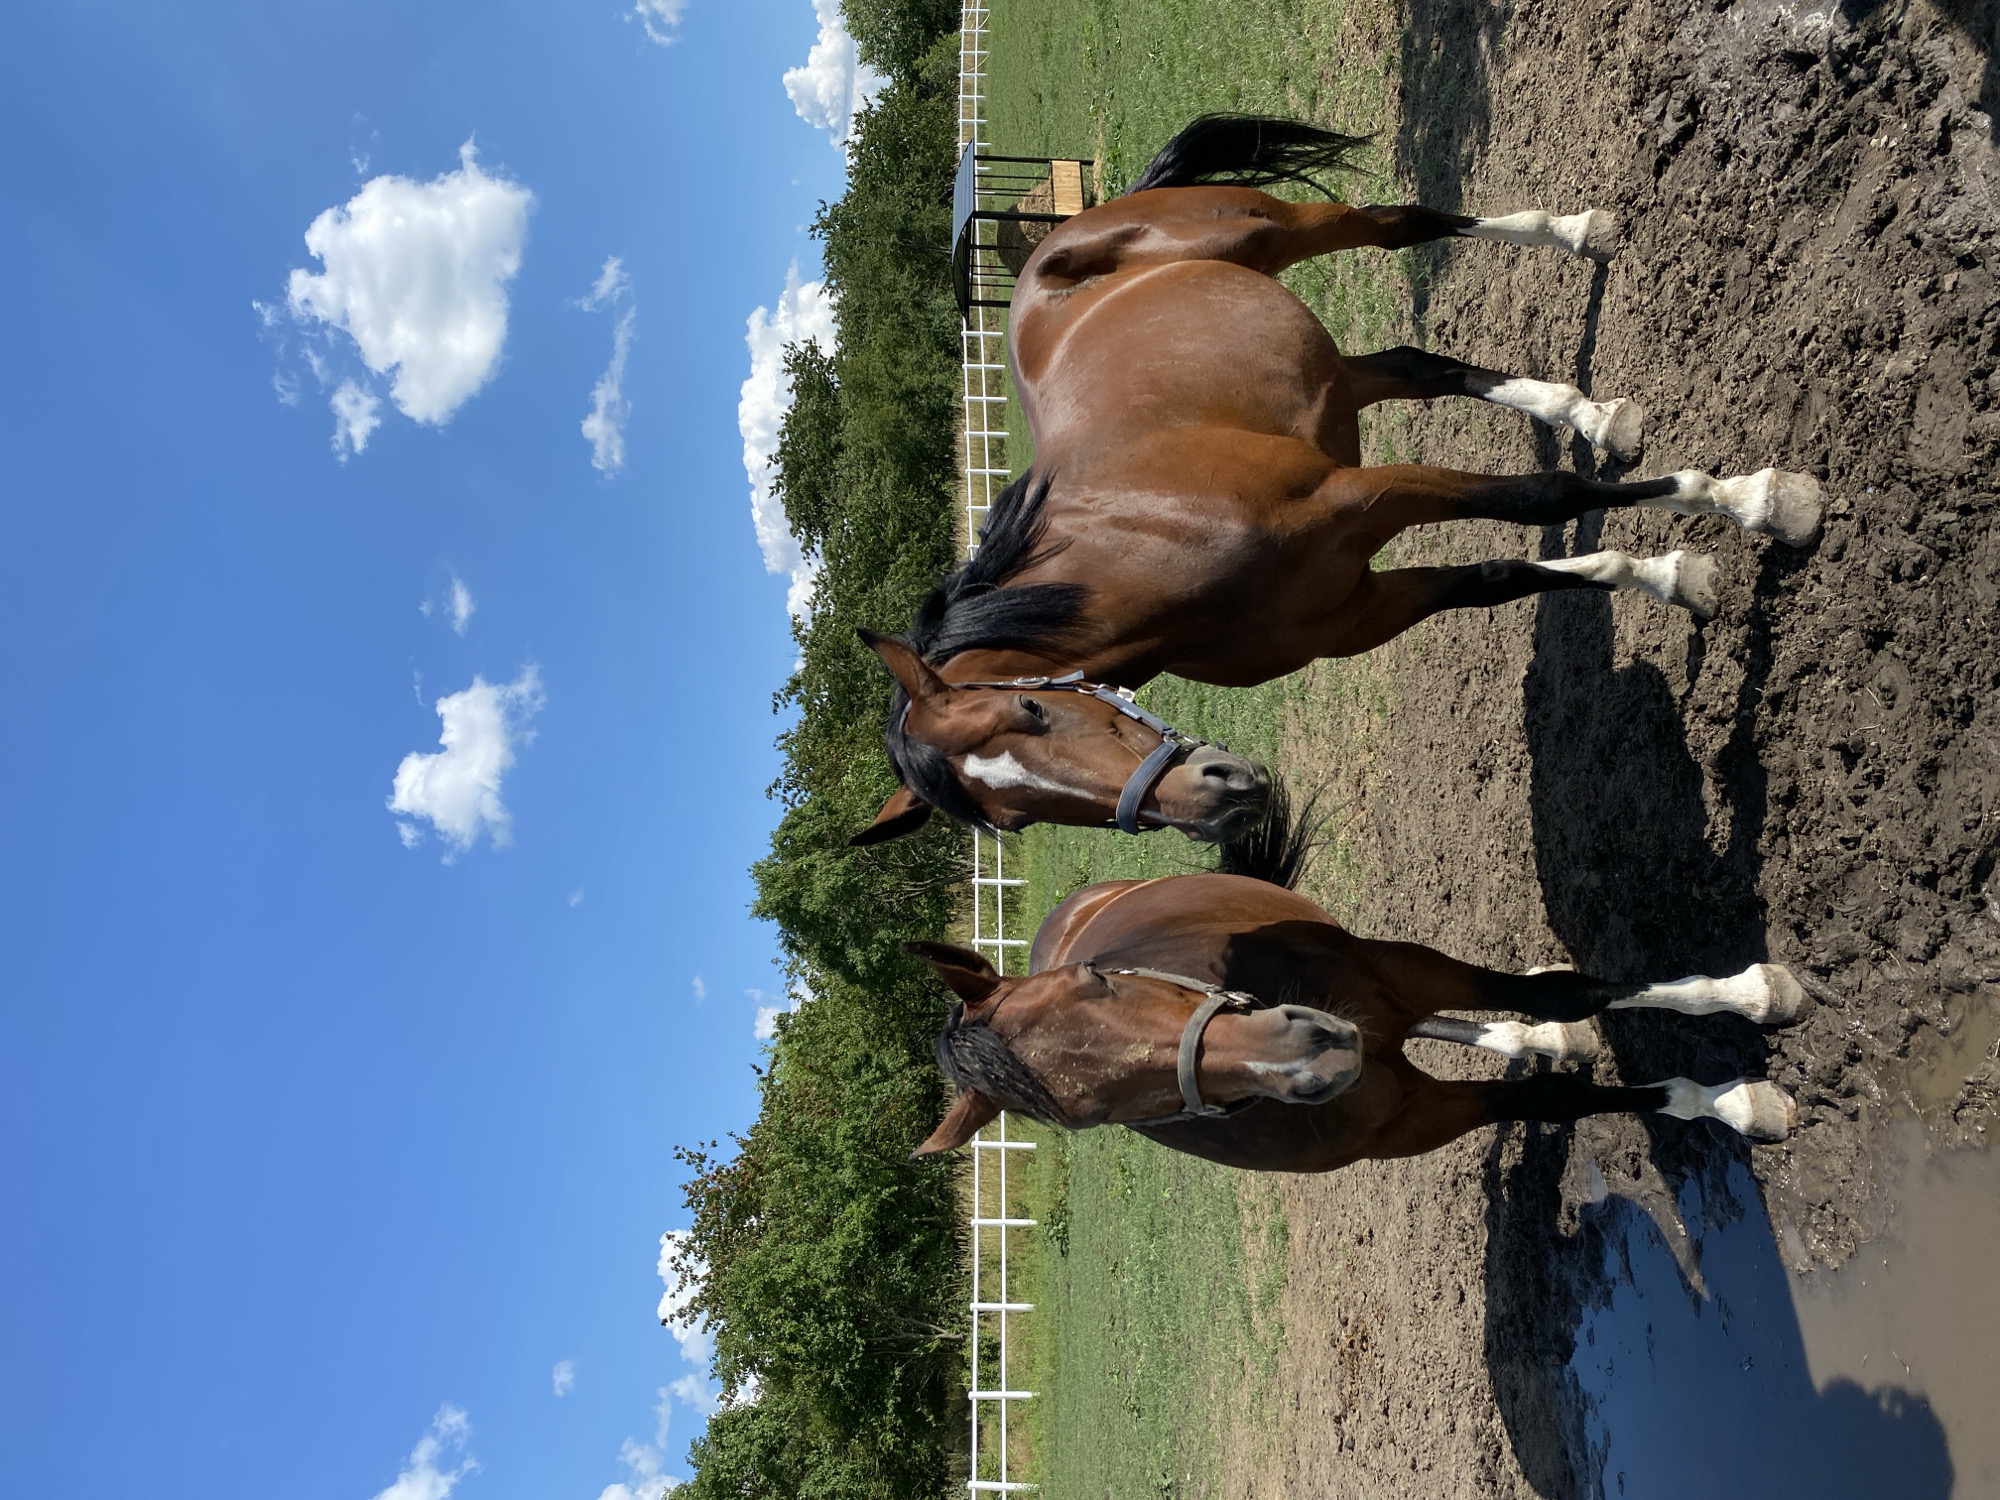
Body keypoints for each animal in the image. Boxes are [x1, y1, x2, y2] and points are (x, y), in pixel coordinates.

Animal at [851, 115, 1821, 849]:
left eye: (1032, 711)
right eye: (1011, 817)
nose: (1220, 798)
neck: (1156, 551)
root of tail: (1064, 232)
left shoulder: (1364, 496)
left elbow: (1535, 500)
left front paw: (1752, 503)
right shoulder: (1360, 611)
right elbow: (1499, 575)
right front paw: (1668, 572)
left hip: (1279, 228)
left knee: (1402, 222)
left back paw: (1579, 233)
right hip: (1335, 378)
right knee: (1418, 364)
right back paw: (1585, 412)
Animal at [902, 817, 1804, 1169]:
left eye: (1097, 979)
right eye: (1093, 1114)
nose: (1309, 1056)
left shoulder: (1406, 970)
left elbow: (1572, 993)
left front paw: (1751, 998)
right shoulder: (1422, 1115)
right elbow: (1557, 1100)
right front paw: (1732, 1101)